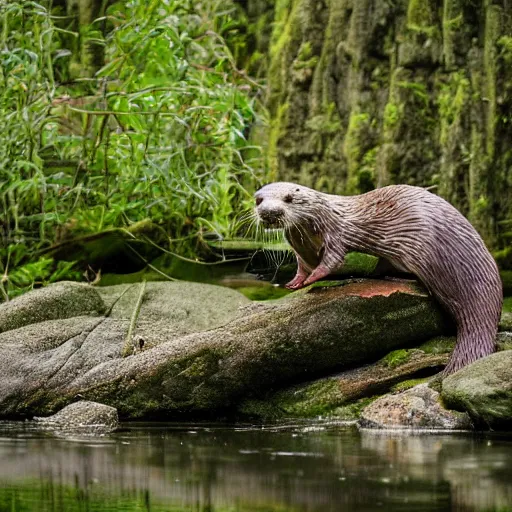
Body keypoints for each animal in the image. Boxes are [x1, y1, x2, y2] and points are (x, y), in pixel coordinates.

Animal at [254, 182, 502, 374]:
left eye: (288, 198)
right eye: (259, 200)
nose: (269, 212)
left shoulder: (336, 234)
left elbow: (331, 261)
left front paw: (313, 278)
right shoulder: (300, 251)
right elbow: (302, 268)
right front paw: (294, 283)